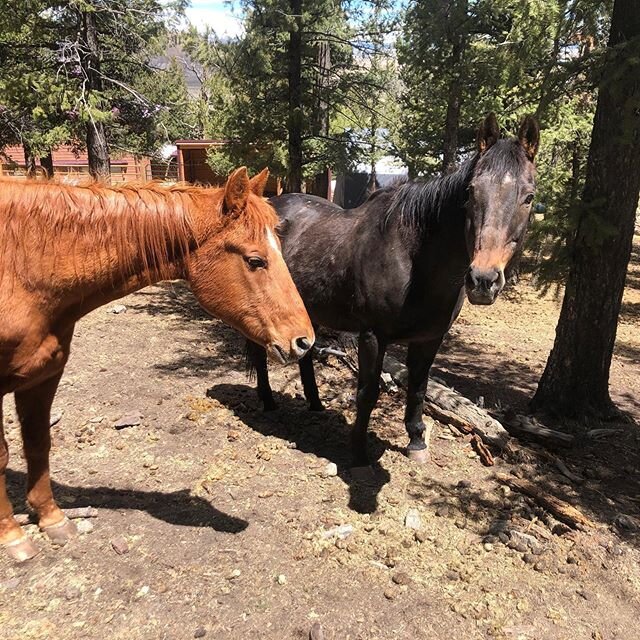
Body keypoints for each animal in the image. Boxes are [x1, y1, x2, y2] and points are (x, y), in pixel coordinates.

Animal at [0, 168, 316, 564]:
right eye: (255, 260)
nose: (305, 341)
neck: (23, 267)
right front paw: (11, 535)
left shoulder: (44, 375)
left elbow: (38, 442)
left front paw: (52, 518)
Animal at [248, 114, 536, 470]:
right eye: (471, 192)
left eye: (529, 197)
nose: (483, 279)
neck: (413, 259)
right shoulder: (373, 336)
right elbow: (368, 392)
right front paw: (358, 453)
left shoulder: (430, 338)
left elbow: (418, 389)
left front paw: (416, 441)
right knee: (258, 349)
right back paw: (268, 401)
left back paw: (315, 403)